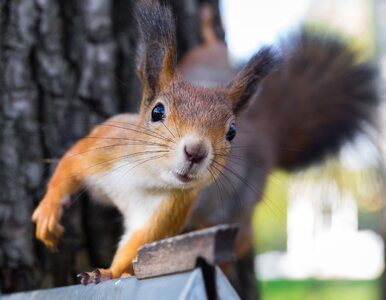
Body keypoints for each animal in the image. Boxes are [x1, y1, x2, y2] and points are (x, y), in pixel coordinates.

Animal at [30, 0, 278, 284]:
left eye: (232, 132)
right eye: (157, 112)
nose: (195, 152)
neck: (142, 173)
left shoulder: (171, 207)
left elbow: (139, 242)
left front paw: (108, 272)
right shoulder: (102, 147)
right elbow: (68, 167)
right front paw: (48, 212)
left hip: (238, 212)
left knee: (240, 239)